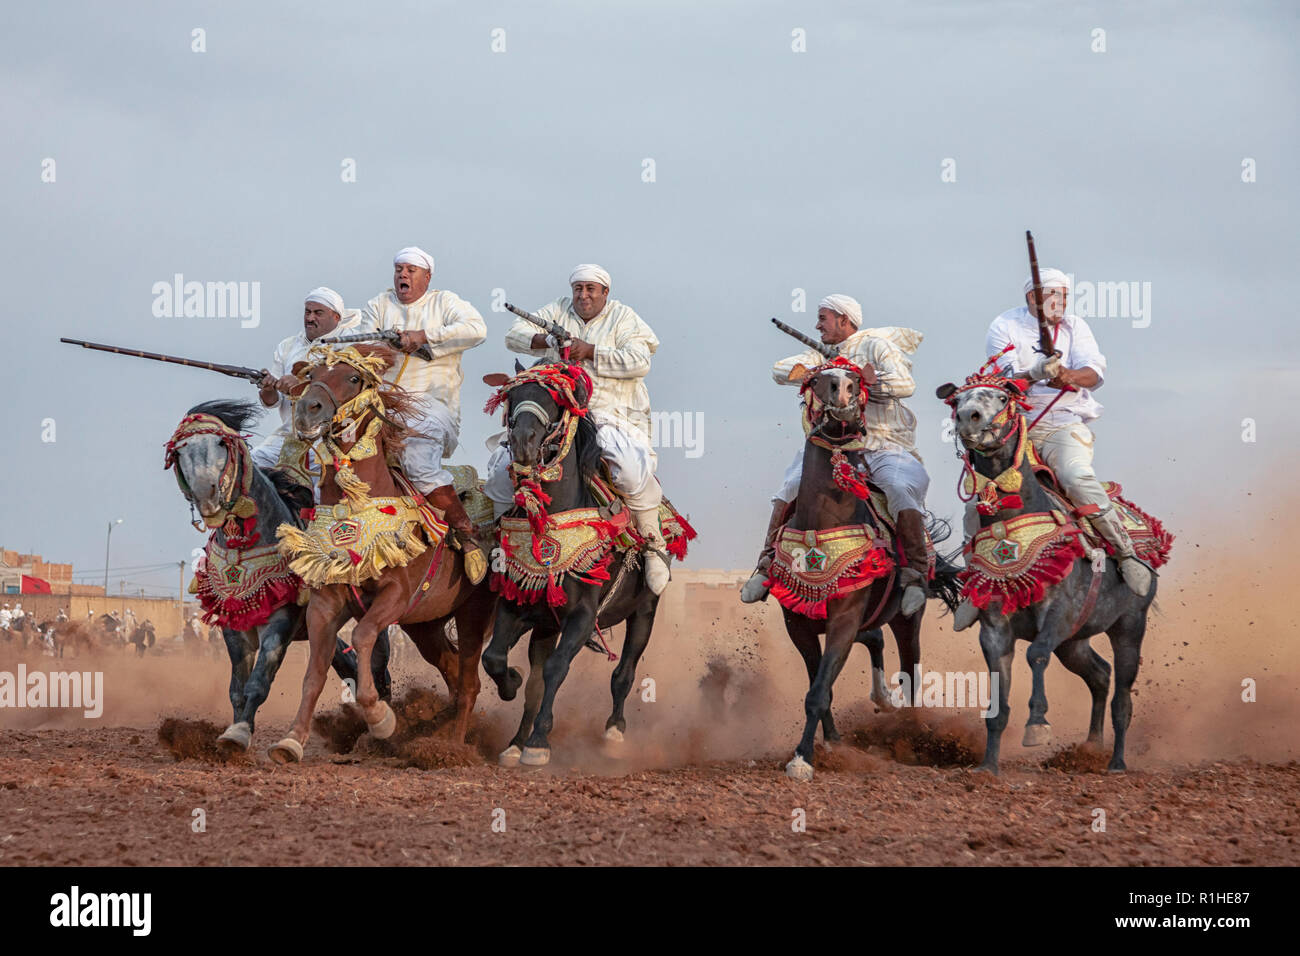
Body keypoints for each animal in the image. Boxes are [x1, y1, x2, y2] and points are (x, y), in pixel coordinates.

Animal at [266, 343, 493, 764]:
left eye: (354, 377)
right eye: (312, 374)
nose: (307, 409)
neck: (356, 508)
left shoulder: (395, 595)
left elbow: (364, 635)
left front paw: (380, 717)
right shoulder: (326, 602)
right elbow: (314, 674)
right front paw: (292, 739)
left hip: (473, 612)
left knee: (469, 682)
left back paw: (453, 748)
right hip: (426, 625)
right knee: (454, 672)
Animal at [480, 361, 670, 764]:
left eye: (554, 400)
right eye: (513, 396)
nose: (522, 442)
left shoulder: (583, 616)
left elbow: (556, 669)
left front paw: (539, 743)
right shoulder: (517, 606)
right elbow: (496, 659)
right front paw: (512, 690)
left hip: (644, 612)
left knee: (624, 673)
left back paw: (614, 732)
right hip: (546, 627)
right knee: (535, 680)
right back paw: (515, 741)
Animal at [935, 377, 1159, 775]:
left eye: (1002, 397)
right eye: (957, 400)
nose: (969, 418)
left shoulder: (1059, 613)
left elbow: (1036, 654)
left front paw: (1037, 725)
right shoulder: (994, 628)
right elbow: (998, 697)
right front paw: (988, 766)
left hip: (1130, 625)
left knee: (1122, 695)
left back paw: (1116, 762)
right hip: (1074, 643)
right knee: (1100, 675)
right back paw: (1091, 746)